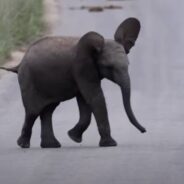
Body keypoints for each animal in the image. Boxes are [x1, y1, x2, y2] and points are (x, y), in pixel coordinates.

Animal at [0, 18, 146, 149]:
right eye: (109, 67)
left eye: (128, 65)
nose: (144, 130)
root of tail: (20, 63)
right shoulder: (81, 68)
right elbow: (95, 97)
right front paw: (110, 144)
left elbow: (85, 102)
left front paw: (73, 137)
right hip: (28, 80)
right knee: (32, 111)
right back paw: (23, 144)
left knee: (48, 111)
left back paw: (51, 145)